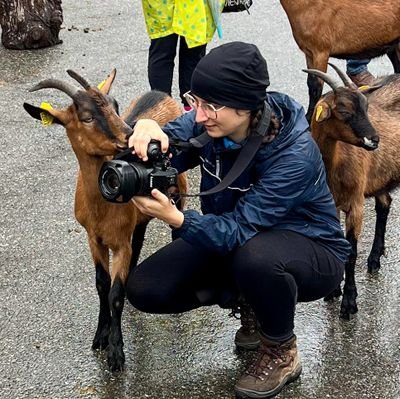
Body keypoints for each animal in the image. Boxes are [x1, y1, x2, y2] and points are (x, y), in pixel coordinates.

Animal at [23, 71, 188, 372]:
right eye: (87, 117)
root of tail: (161, 94)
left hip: (178, 194)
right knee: (139, 238)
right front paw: (100, 336)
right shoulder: (93, 238)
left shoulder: (120, 243)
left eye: (115, 105)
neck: (102, 207)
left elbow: (115, 294)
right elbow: (102, 284)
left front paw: (116, 352)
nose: (131, 135)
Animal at [304, 65, 400, 322]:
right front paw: (333, 291)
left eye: (366, 107)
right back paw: (375, 258)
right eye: (344, 110)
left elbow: (351, 252)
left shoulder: (356, 205)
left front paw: (349, 303)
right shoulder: (332, 204)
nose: (374, 140)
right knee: (384, 203)